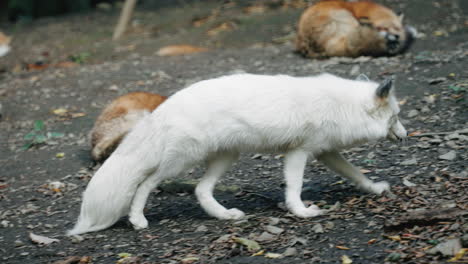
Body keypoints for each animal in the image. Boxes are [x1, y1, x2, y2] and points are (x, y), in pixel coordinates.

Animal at [67, 72, 408, 235]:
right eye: (395, 117)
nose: (405, 136)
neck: (344, 106)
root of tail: (166, 106)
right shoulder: (299, 152)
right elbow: (294, 187)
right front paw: (301, 212)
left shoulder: (325, 152)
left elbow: (356, 174)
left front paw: (376, 189)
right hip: (181, 162)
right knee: (145, 184)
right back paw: (138, 220)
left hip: (225, 158)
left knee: (201, 191)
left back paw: (224, 215)